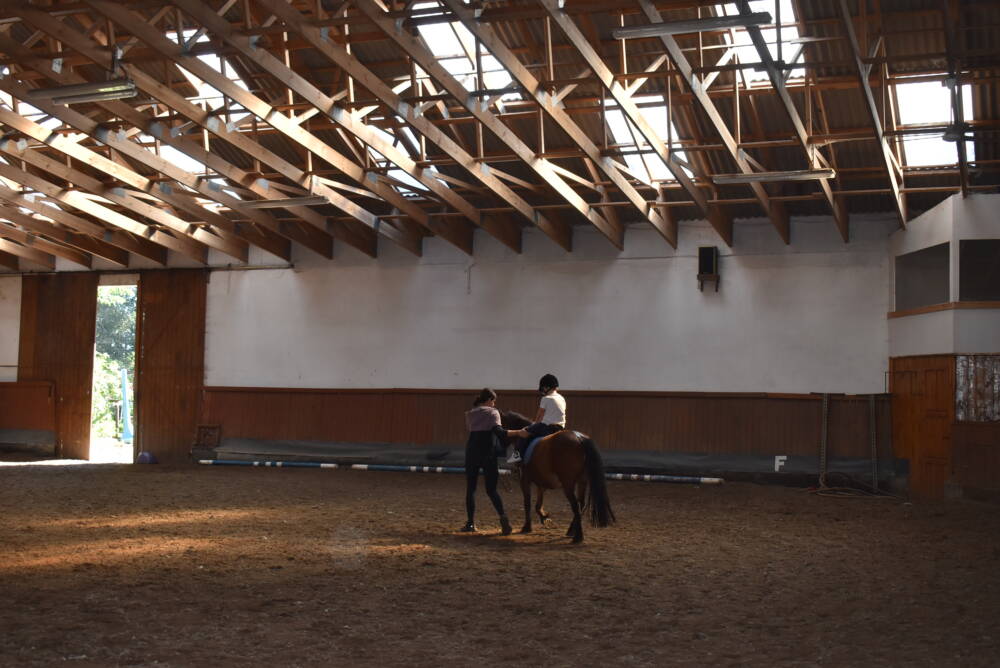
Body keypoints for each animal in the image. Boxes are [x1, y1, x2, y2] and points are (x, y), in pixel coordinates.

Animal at [500, 411, 615, 543]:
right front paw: (545, 517)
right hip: (582, 481)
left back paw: (578, 536)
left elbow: (527, 503)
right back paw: (571, 531)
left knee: (575, 505)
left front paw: (527, 527)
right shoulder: (541, 482)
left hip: (568, 484)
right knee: (581, 504)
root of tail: (579, 438)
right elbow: (538, 504)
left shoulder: (524, 479)